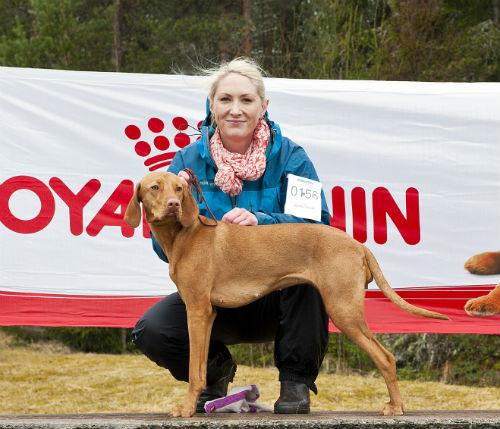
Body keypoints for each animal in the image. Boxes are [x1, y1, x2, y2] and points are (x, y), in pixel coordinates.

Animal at [125, 171, 450, 418]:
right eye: (155, 187)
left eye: (179, 188)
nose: (173, 205)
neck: (185, 235)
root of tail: (358, 245)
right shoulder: (206, 313)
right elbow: (201, 365)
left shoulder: (197, 310)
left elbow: (195, 370)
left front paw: (187, 408)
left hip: (343, 309)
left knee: (386, 357)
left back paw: (396, 406)